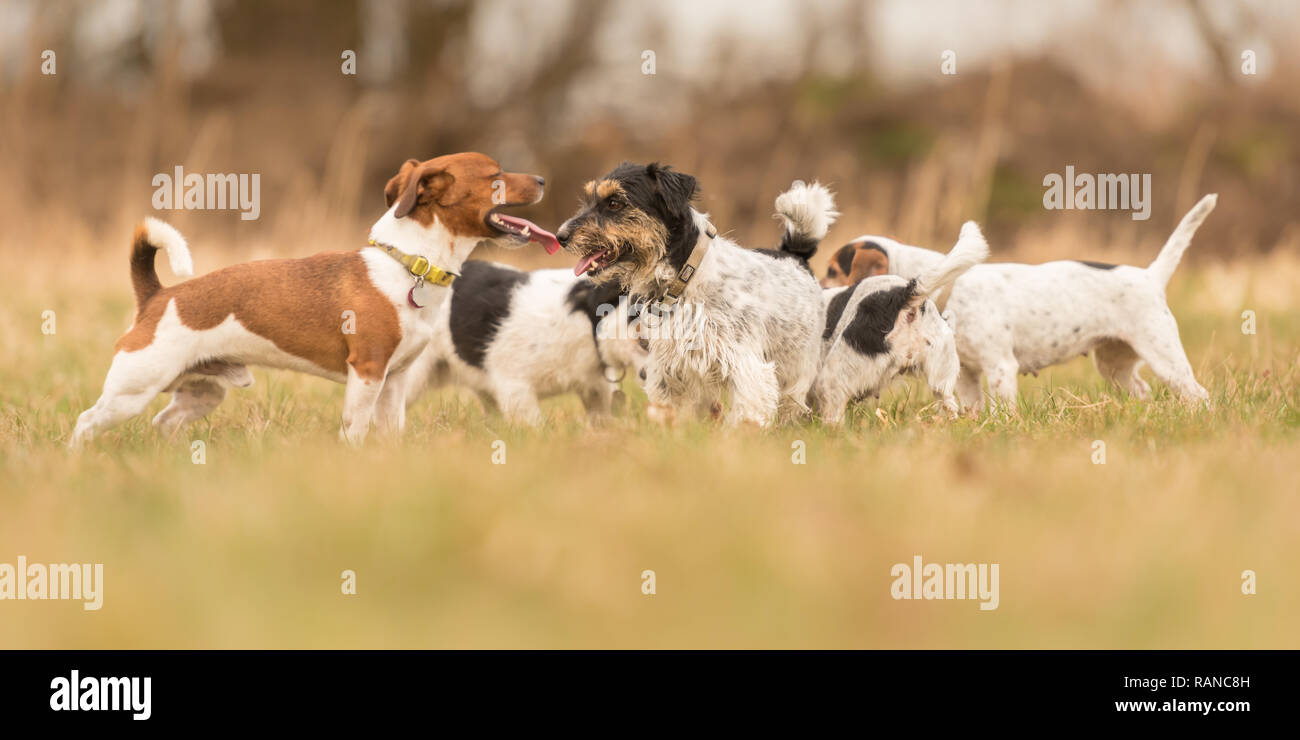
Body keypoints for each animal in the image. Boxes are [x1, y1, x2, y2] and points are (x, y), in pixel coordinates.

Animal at [553, 163, 837, 423]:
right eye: (589, 199)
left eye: (614, 203)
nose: (560, 236)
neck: (684, 281)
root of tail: (794, 254)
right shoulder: (665, 371)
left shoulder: (747, 368)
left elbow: (745, 419)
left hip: (797, 369)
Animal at [821, 193, 1216, 410]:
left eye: (832, 271)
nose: (816, 289)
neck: (951, 288)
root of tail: (1151, 276)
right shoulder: (967, 373)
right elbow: (972, 408)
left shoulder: (1000, 368)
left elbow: (1001, 411)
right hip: (1114, 364)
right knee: (1143, 391)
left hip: (1164, 355)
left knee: (1198, 394)